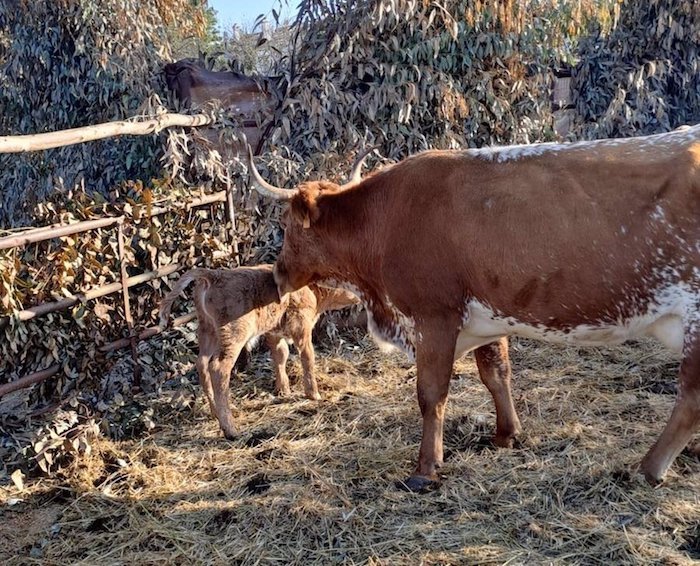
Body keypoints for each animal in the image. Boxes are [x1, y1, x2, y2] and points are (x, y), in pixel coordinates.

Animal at [158, 266, 356, 440]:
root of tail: (214, 275)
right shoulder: (302, 328)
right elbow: (307, 358)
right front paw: (313, 394)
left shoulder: (275, 332)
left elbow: (280, 355)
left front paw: (283, 389)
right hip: (233, 334)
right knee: (219, 368)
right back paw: (230, 429)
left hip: (208, 331)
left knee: (202, 364)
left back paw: (215, 412)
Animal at [247, 124, 700, 492]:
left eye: (287, 226)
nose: (277, 275)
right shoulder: (486, 317)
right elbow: (495, 373)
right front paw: (506, 434)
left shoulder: (434, 316)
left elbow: (431, 394)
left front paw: (426, 469)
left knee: (690, 397)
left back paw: (648, 468)